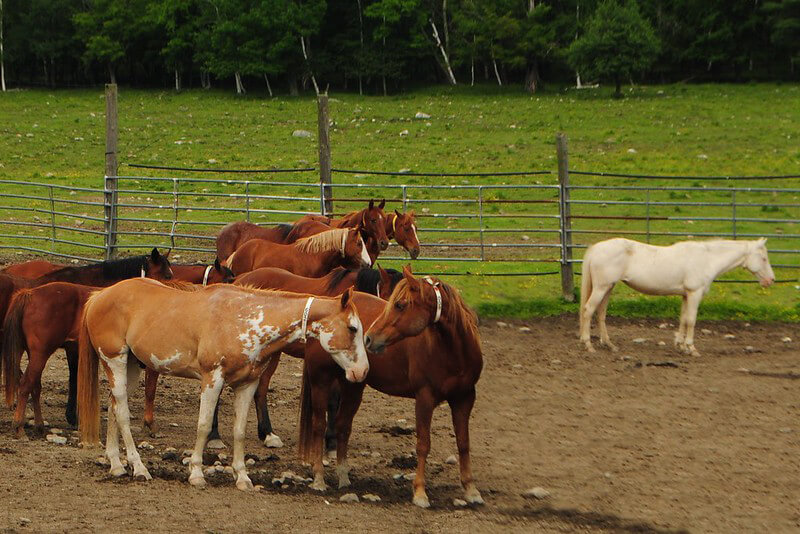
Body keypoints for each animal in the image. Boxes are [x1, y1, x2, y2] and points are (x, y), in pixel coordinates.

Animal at [78, 280, 368, 494]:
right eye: (353, 328)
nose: (362, 371)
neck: (245, 318)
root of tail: (99, 296)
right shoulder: (212, 378)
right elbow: (204, 426)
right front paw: (196, 474)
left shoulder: (247, 385)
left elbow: (239, 431)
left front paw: (243, 478)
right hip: (114, 360)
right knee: (123, 414)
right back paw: (139, 468)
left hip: (131, 367)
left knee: (115, 406)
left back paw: (117, 465)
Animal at [298, 268, 482, 510]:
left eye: (400, 305)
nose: (369, 338)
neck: (453, 351)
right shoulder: (424, 398)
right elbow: (423, 444)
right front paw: (420, 492)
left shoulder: (465, 398)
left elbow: (463, 443)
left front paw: (470, 489)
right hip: (321, 381)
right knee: (319, 426)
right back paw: (319, 477)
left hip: (353, 384)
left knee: (342, 427)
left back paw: (343, 477)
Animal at [580, 238, 776, 356]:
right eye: (764, 258)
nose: (771, 280)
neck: (707, 259)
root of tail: (596, 248)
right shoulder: (695, 294)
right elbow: (691, 321)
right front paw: (691, 348)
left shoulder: (686, 295)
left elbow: (683, 319)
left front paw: (680, 346)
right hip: (601, 288)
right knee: (588, 311)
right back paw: (588, 345)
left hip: (608, 288)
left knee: (601, 314)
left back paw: (609, 345)